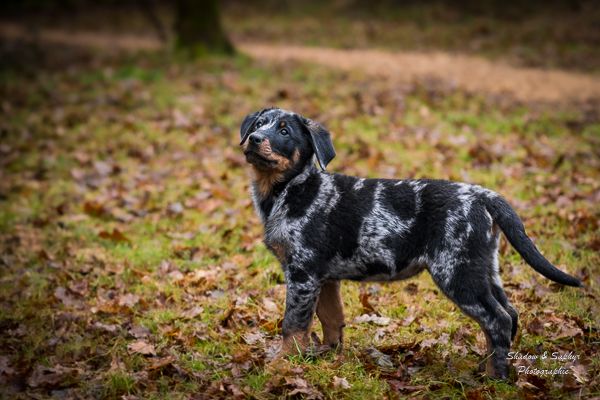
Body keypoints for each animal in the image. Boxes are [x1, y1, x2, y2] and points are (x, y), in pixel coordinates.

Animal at [238, 106, 580, 378]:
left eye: (284, 131)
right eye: (259, 124)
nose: (254, 139)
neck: (288, 191)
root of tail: (484, 196)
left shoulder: (303, 273)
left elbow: (293, 325)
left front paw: (281, 365)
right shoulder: (323, 277)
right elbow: (331, 319)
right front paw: (327, 358)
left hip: (457, 272)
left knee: (497, 320)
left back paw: (494, 378)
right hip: (482, 268)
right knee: (509, 314)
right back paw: (490, 367)